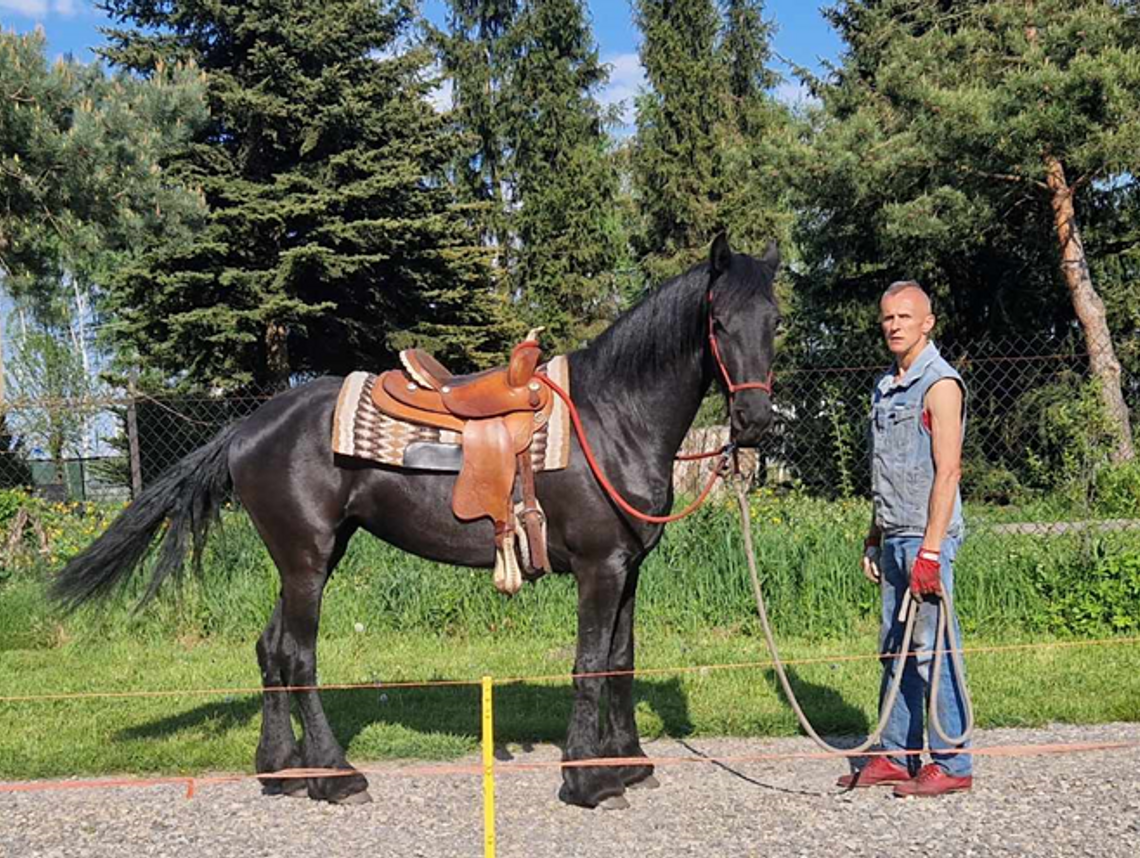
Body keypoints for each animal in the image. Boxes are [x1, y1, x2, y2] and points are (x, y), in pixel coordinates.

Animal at [55, 232, 784, 802]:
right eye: (719, 323)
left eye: (774, 320)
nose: (754, 422)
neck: (611, 419)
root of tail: (246, 427)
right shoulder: (599, 569)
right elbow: (588, 664)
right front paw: (585, 779)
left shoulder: (629, 569)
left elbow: (621, 660)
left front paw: (627, 764)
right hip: (306, 560)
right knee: (296, 655)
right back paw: (334, 776)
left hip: (310, 558)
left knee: (268, 648)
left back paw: (282, 771)